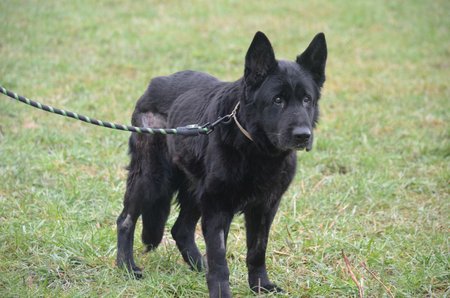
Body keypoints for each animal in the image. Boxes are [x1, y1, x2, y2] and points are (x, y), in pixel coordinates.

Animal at [116, 31, 326, 296]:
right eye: (277, 100)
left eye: (307, 99)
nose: (303, 136)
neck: (255, 148)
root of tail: (155, 83)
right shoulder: (217, 207)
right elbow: (219, 259)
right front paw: (221, 291)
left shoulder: (265, 208)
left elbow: (257, 251)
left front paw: (260, 285)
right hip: (151, 179)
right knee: (125, 220)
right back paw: (126, 266)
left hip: (195, 190)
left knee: (180, 229)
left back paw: (198, 266)